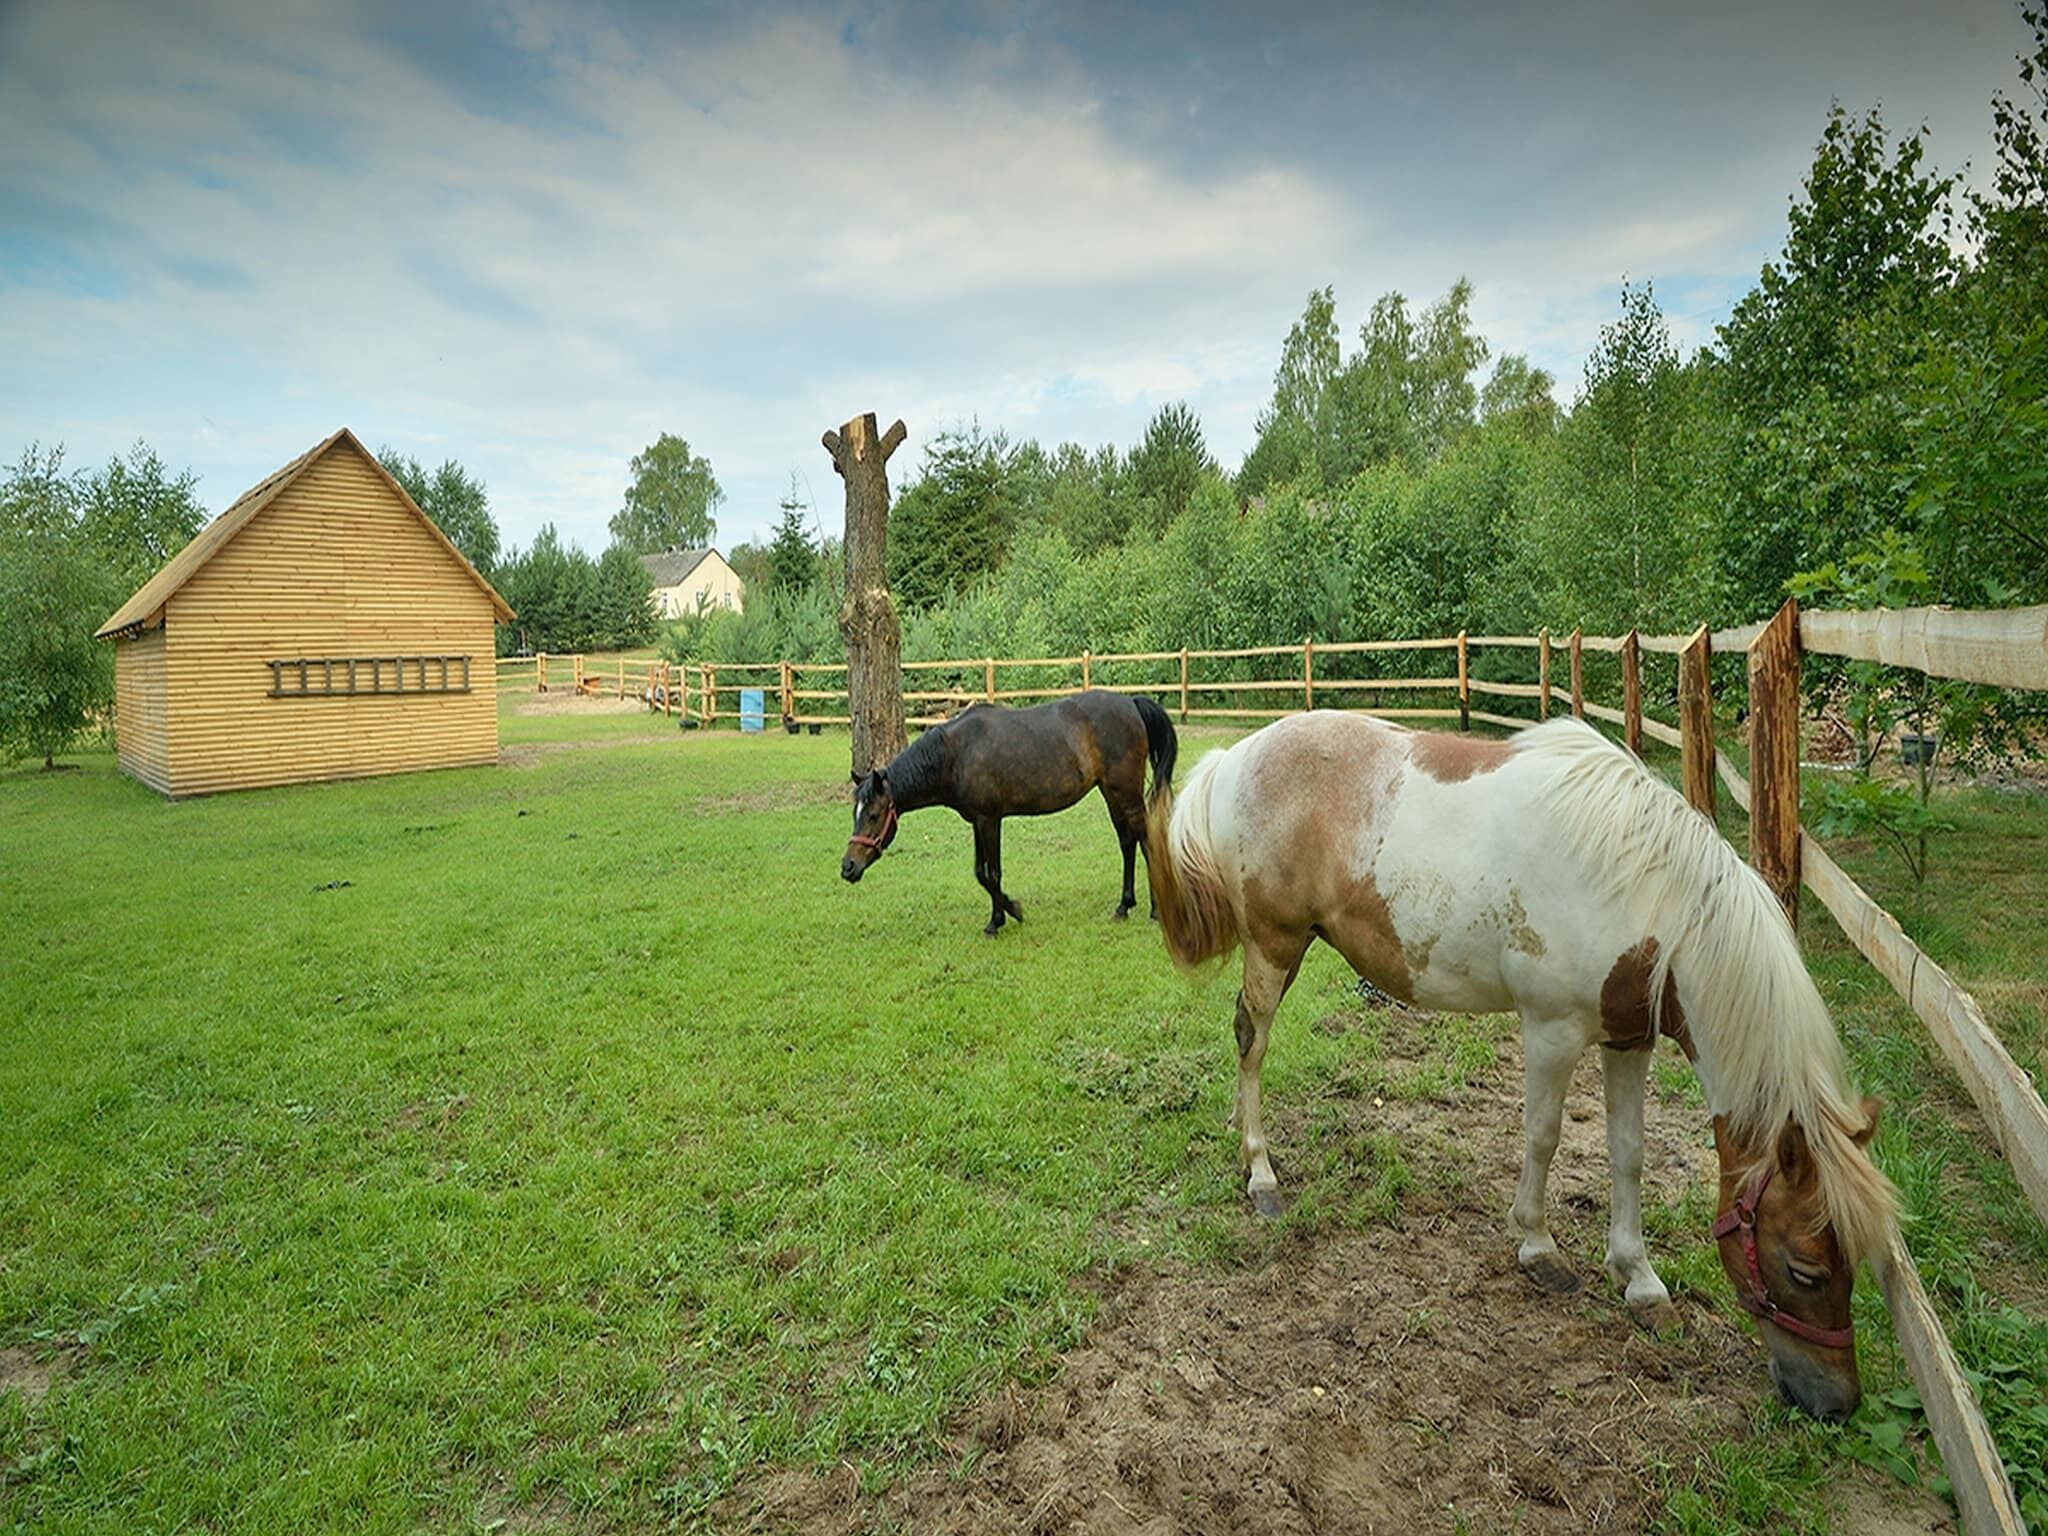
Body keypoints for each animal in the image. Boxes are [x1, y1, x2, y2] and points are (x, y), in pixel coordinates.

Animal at [841, 690, 1178, 935]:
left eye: (873, 815)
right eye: (854, 814)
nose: (847, 867)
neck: (955, 754)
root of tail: (1131, 703)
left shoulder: (990, 819)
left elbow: (992, 873)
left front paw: (1004, 916)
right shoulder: (977, 821)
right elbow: (980, 873)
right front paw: (1005, 913)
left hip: (1125, 793)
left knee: (1146, 840)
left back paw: (1155, 910)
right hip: (1111, 793)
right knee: (1127, 843)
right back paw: (1124, 906)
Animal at [1143, 711, 1897, 1421]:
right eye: (1805, 1269)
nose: (1837, 1404)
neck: (1646, 896)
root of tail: (1234, 756)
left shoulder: (1628, 1040)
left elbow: (1628, 1154)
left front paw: (1640, 1279)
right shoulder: (1552, 1031)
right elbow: (1543, 1136)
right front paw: (1538, 1247)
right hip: (1274, 944)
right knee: (1252, 1043)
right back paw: (1261, 1173)